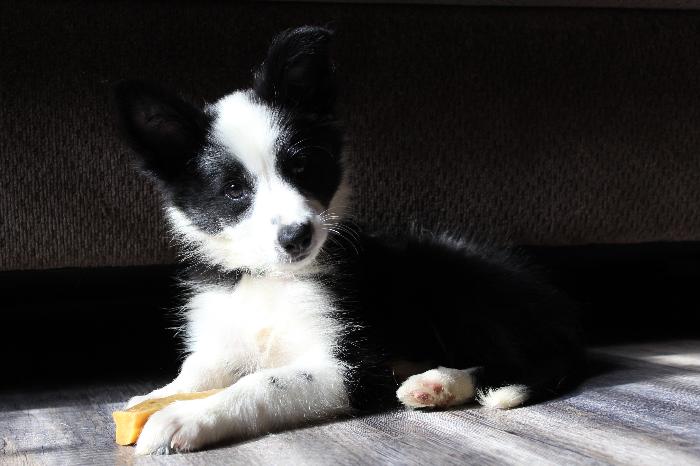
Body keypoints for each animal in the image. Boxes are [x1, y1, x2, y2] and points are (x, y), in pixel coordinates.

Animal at [114, 26, 584, 455]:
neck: (270, 278)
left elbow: (265, 382)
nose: (298, 236)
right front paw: (153, 397)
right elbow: (197, 367)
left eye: (301, 167)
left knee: (525, 359)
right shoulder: (226, 333)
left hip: (453, 282)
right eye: (233, 190)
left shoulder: (353, 364)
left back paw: (439, 381)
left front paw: (188, 416)